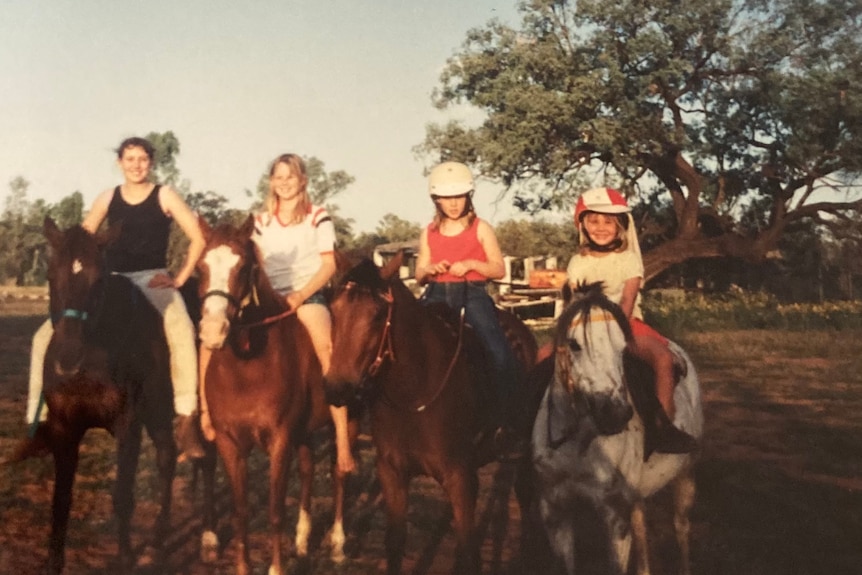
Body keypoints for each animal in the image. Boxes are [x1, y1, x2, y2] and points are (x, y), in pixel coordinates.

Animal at [7, 218, 196, 572]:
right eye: (51, 276)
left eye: (97, 281)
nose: (68, 359)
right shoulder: (65, 429)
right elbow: (61, 499)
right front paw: (53, 562)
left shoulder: (128, 427)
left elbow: (122, 495)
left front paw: (125, 558)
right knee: (167, 456)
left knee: (170, 460)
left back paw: (165, 541)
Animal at [197, 216, 358, 575]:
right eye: (200, 268)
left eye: (243, 267)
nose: (212, 331)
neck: (247, 370)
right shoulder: (230, 443)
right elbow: (241, 512)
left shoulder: (280, 440)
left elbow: (274, 511)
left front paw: (276, 567)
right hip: (304, 431)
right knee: (309, 469)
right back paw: (302, 540)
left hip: (349, 421)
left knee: (340, 472)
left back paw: (338, 544)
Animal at [324, 254, 540, 575]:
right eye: (334, 310)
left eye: (377, 314)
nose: (338, 389)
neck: (414, 393)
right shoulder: (392, 474)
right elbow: (395, 543)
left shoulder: (460, 479)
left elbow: (469, 552)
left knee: (525, 492)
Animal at [528, 284, 704, 575]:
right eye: (574, 344)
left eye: (623, 349)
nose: (616, 414)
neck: (580, 442)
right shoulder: (554, 509)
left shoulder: (615, 516)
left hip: (686, 473)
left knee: (681, 529)